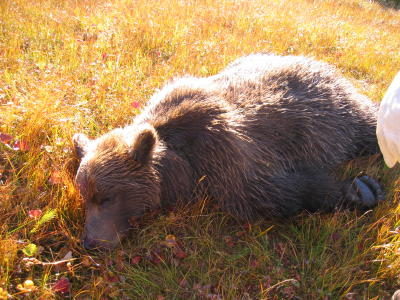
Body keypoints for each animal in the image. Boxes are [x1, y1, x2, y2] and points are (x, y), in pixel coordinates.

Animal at [73, 53, 382, 248]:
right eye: (85, 196)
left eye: (107, 198)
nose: (90, 242)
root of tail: (321, 64)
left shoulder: (226, 153)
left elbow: (270, 194)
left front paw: (362, 190)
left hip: (341, 113)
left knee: (369, 125)